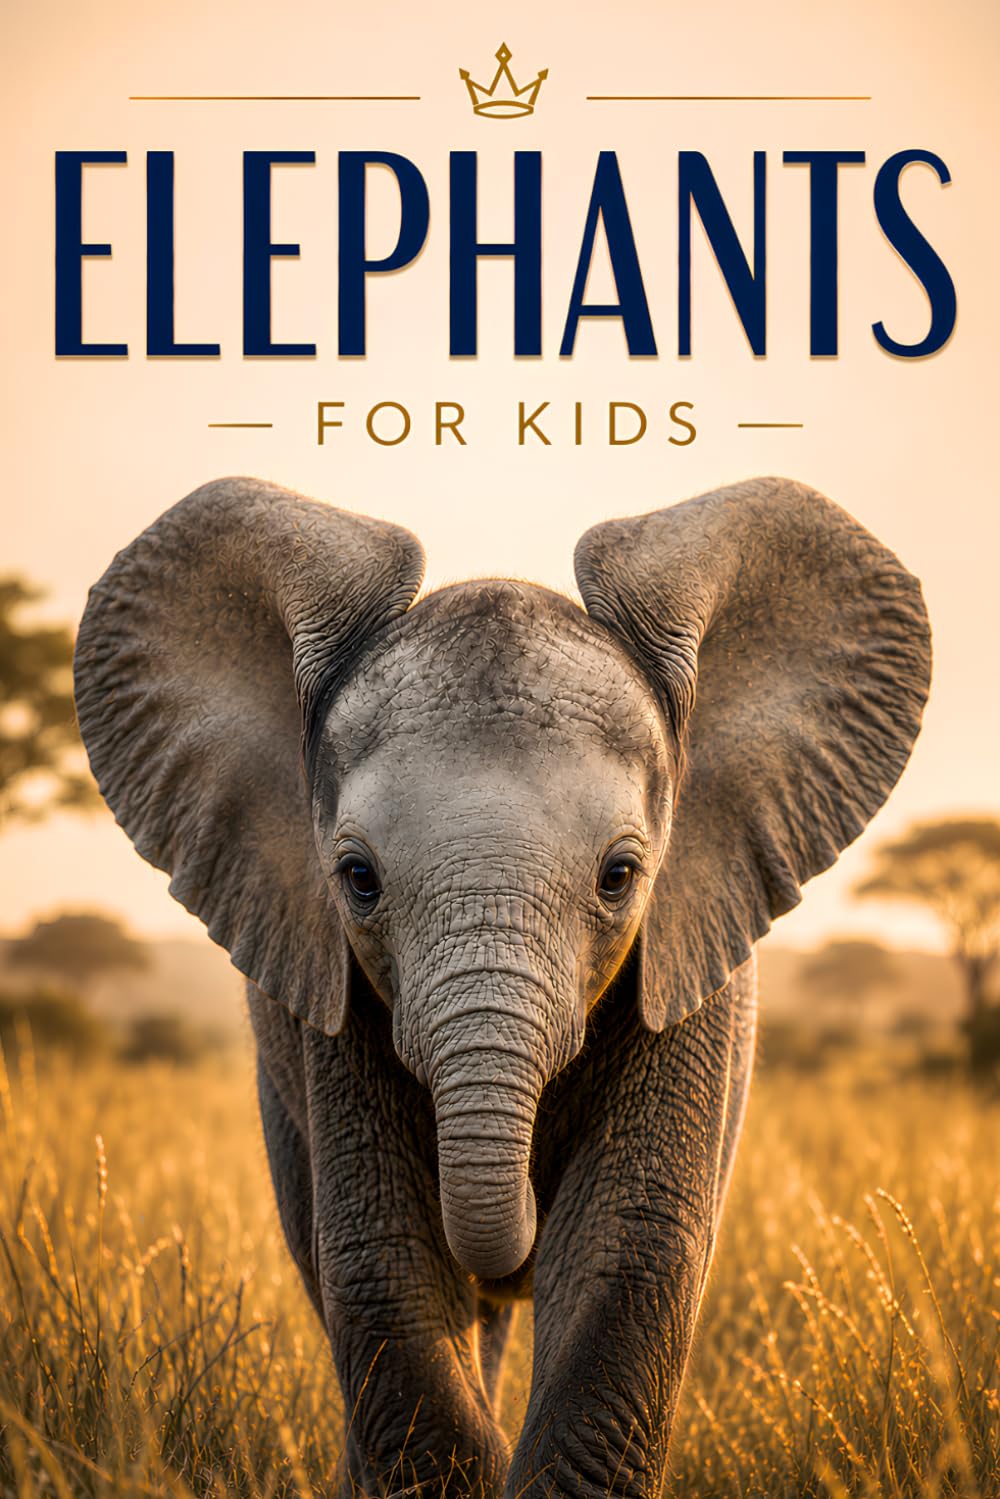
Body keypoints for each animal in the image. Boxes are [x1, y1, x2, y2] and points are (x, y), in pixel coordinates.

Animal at [73, 475, 930, 1498]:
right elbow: (384, 1263)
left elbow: (625, 1254)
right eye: (357, 878)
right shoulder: (334, 994)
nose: (515, 1223)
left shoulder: (693, 967)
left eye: (620, 876)